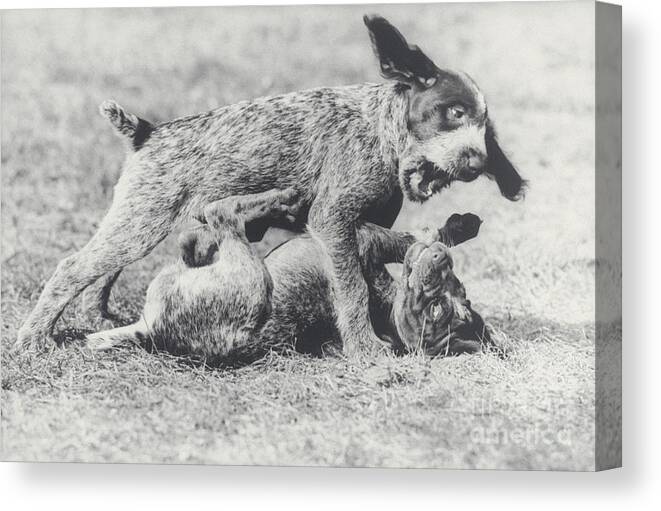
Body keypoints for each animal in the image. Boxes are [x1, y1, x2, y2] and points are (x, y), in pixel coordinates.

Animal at [87, 190, 488, 362]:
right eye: (456, 288)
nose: (442, 261)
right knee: (197, 239)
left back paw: (273, 198)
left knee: (221, 214)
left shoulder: (365, 236)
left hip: (251, 276)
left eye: (436, 310)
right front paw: (456, 229)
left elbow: (406, 239)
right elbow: (414, 240)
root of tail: (151, 331)